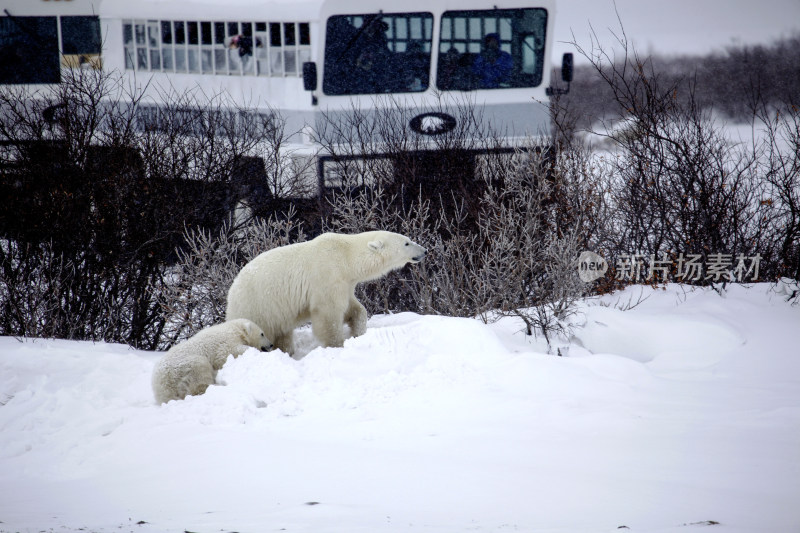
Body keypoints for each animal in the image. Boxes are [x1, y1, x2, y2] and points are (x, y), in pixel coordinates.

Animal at [225, 232, 424, 354]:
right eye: (407, 242)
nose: (424, 250)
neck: (346, 257)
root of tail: (231, 294)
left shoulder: (345, 282)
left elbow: (355, 309)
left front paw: (358, 332)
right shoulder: (327, 276)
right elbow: (329, 315)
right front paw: (337, 345)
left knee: (283, 334)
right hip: (258, 307)